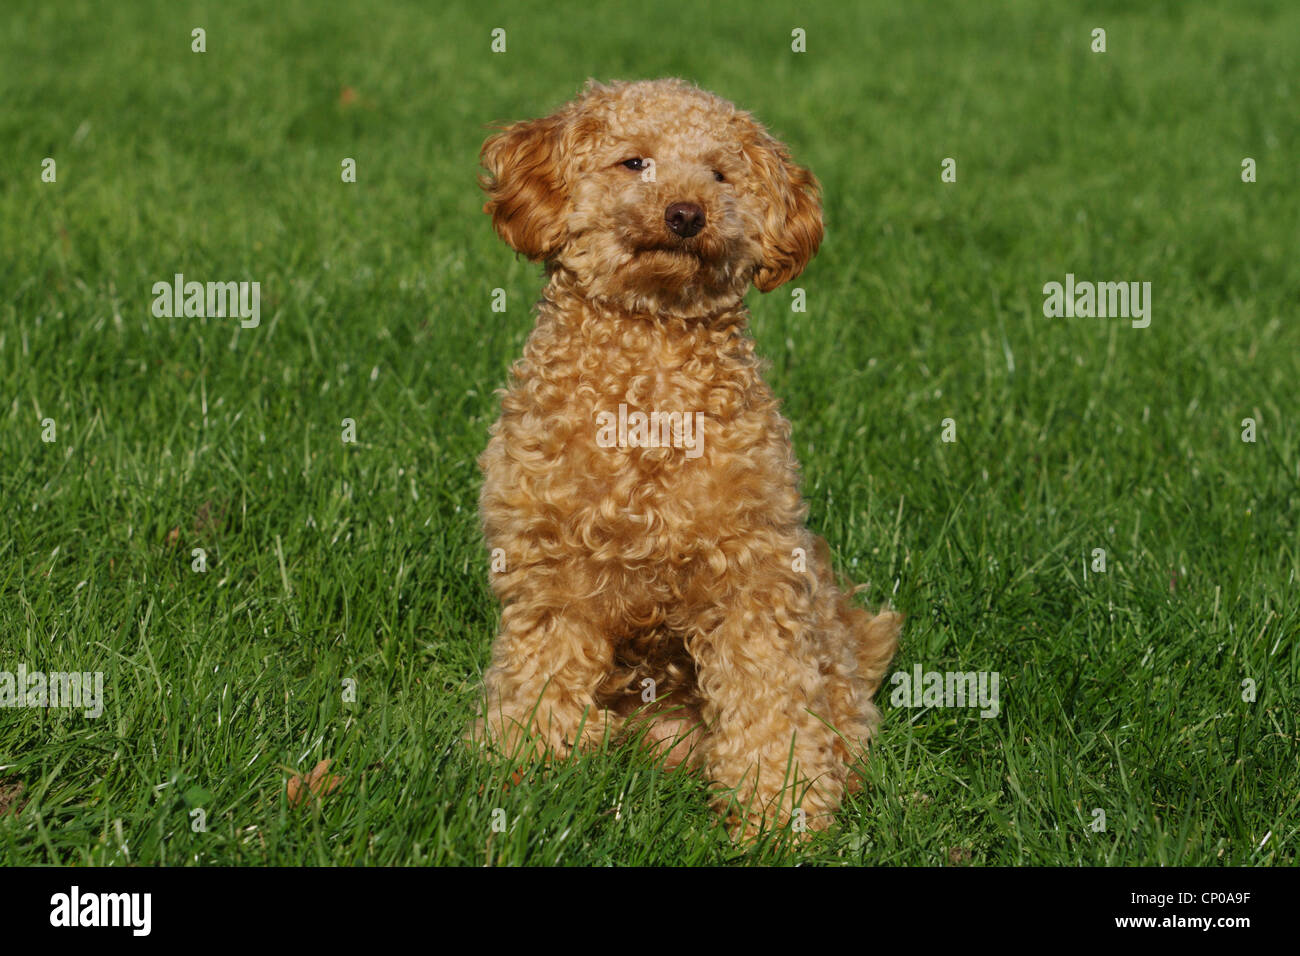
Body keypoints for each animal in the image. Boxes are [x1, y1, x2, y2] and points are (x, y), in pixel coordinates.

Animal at [473, 76, 899, 837]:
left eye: (720, 174)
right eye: (634, 162)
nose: (686, 213)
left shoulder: (755, 572)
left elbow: (769, 697)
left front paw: (780, 810)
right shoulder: (549, 570)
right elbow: (539, 674)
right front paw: (528, 769)